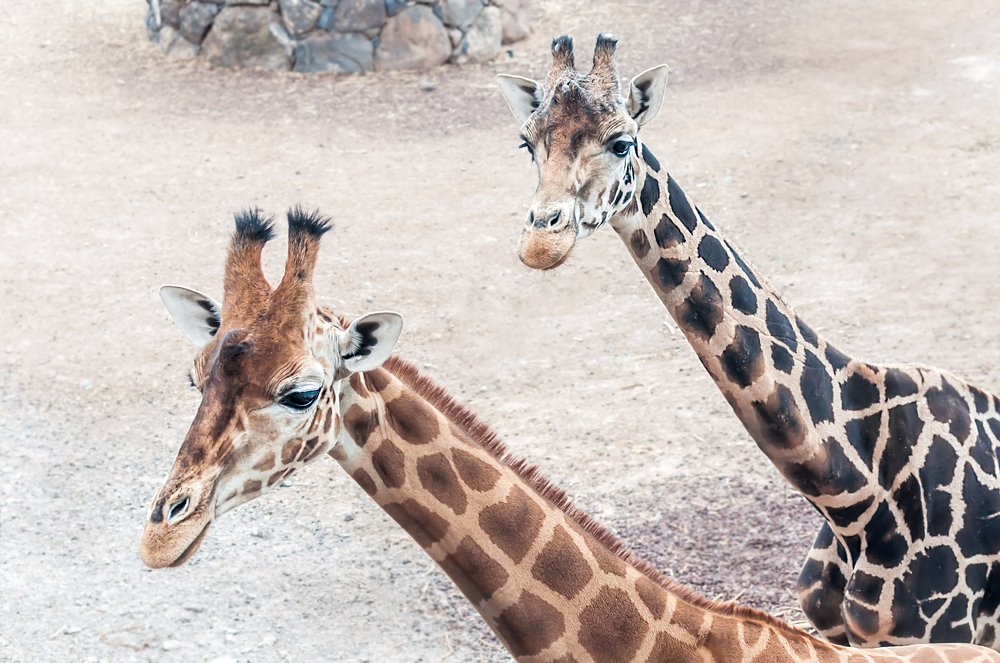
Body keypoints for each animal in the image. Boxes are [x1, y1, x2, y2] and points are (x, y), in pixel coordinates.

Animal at [495, 35, 1000, 650]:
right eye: (527, 142)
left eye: (621, 142)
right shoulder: (836, 631)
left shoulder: (940, 632)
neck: (854, 498)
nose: (542, 242)